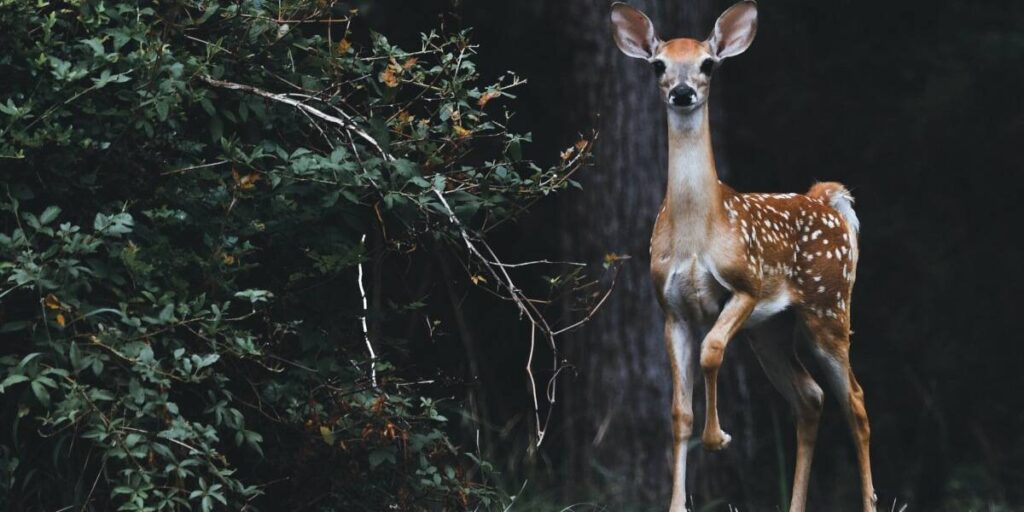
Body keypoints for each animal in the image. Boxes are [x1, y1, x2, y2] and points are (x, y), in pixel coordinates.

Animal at [610, 2, 876, 511]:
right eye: (658, 65)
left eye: (708, 64)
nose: (682, 92)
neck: (696, 234)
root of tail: (827, 199)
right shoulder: (670, 309)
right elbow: (678, 411)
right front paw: (677, 502)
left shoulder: (746, 285)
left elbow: (712, 351)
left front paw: (719, 439)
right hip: (770, 330)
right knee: (810, 396)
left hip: (828, 306)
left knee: (854, 399)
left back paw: (870, 502)